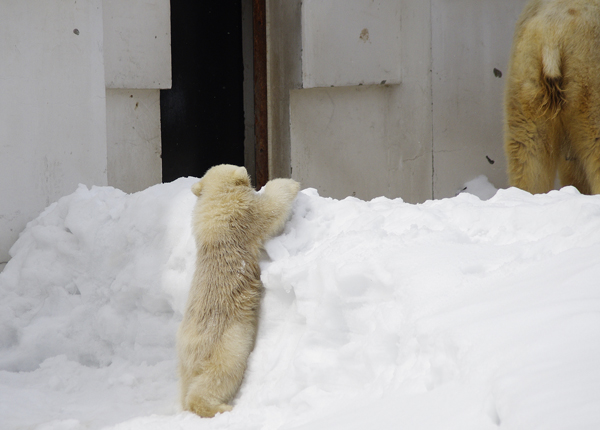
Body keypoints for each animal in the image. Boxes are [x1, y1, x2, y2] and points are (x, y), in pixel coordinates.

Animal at [177, 164, 300, 416]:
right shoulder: (245, 218)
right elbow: (271, 207)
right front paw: (290, 184)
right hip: (224, 342)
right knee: (221, 374)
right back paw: (221, 407)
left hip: (187, 361)